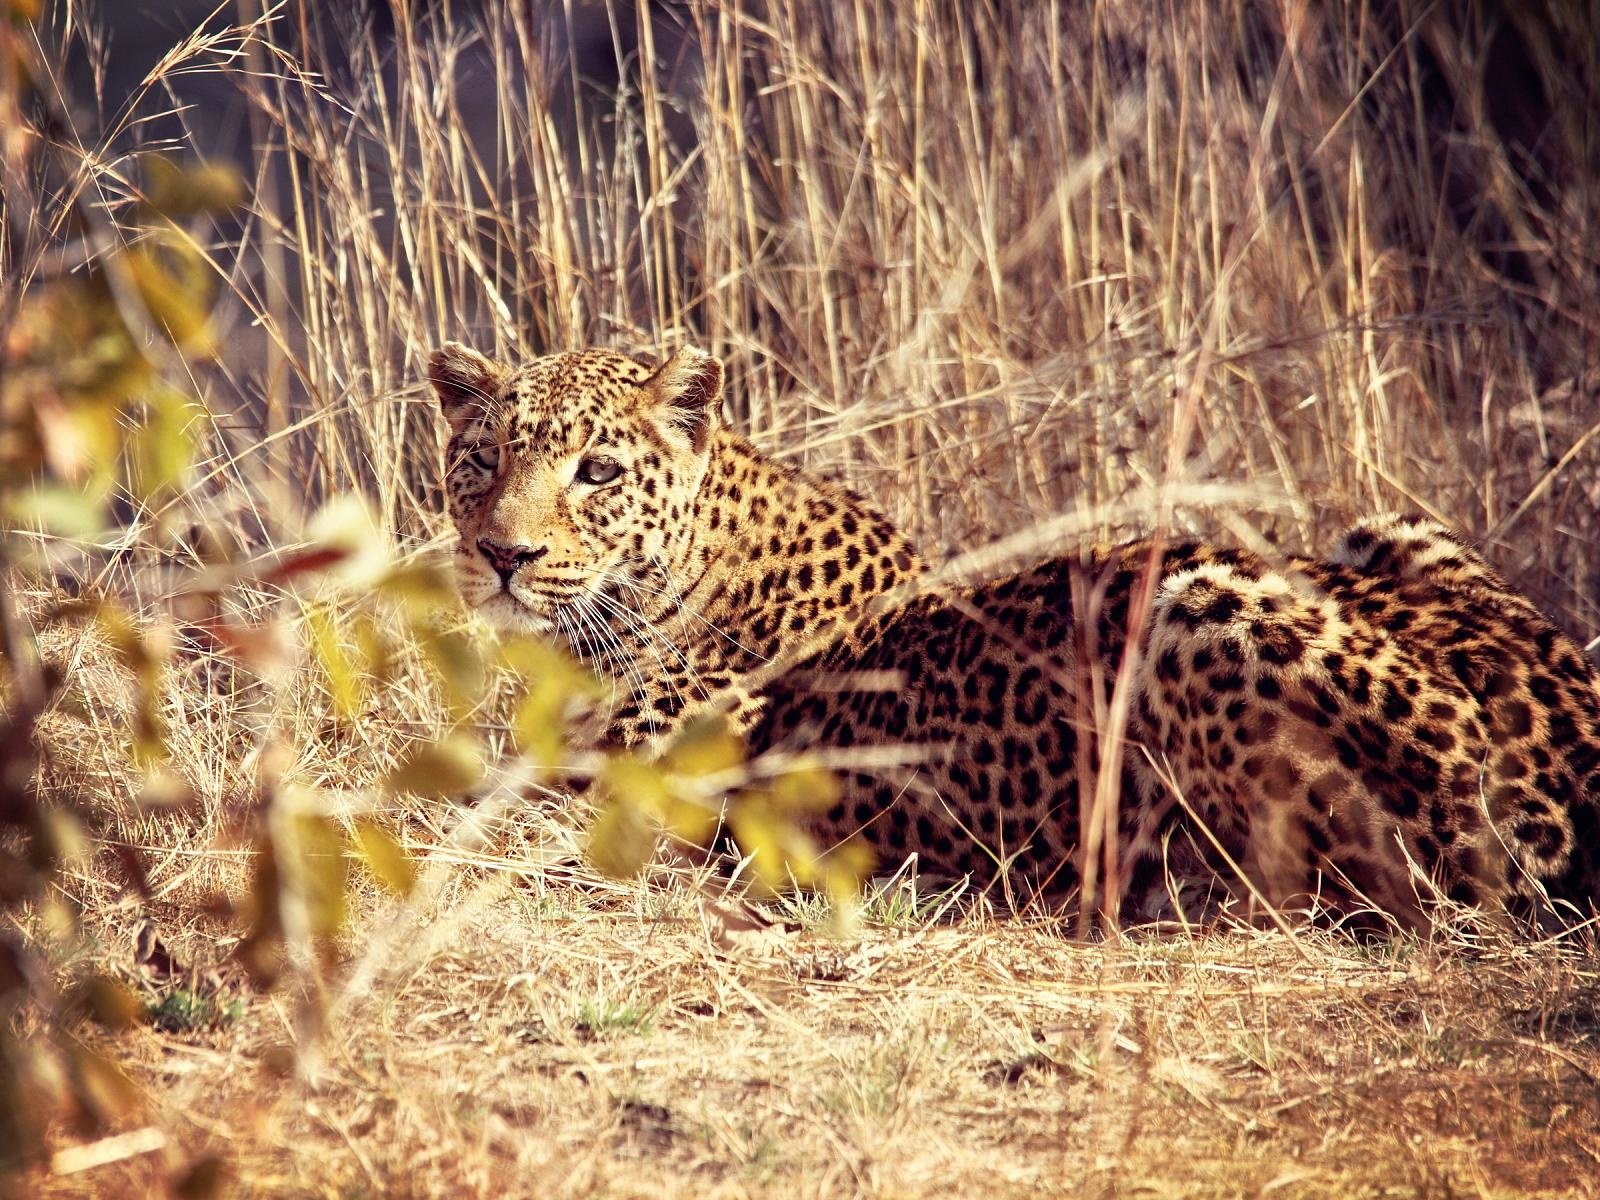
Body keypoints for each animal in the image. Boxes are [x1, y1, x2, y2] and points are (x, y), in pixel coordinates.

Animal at [428, 342, 1600, 934]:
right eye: (482, 459)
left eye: (596, 472)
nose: (503, 554)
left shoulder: (611, 797)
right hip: (1383, 526)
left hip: (1188, 596)